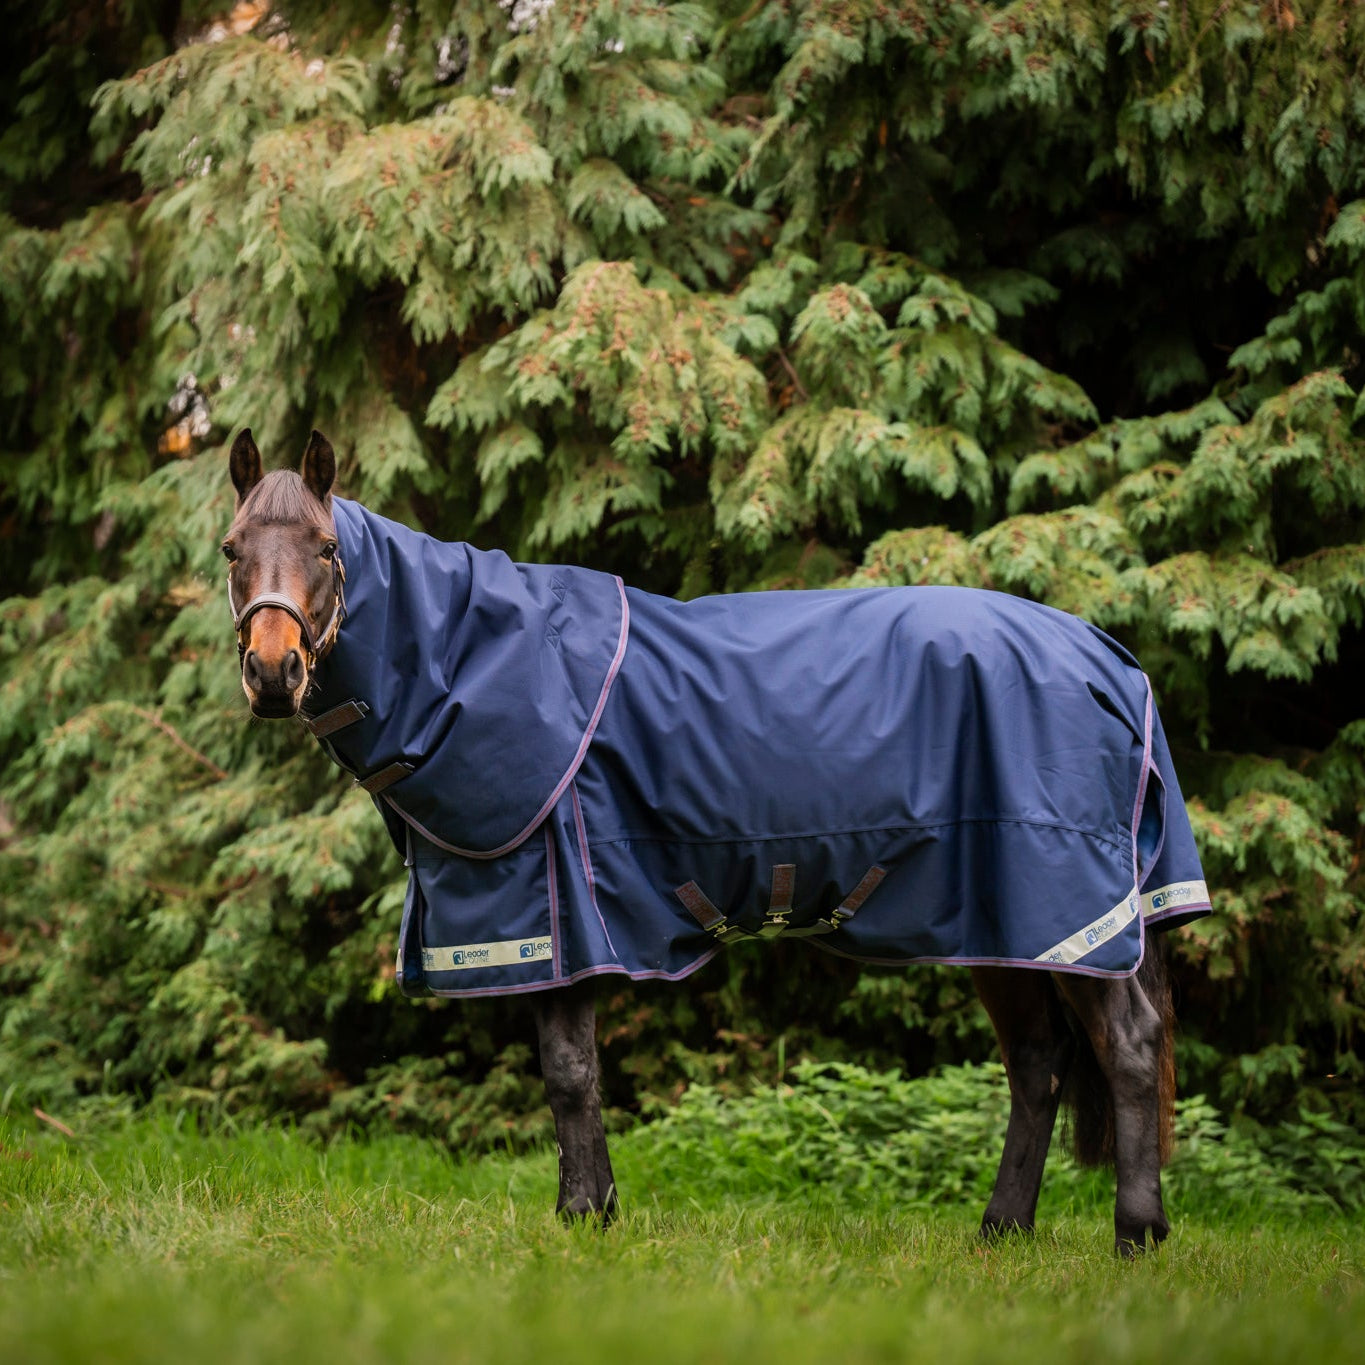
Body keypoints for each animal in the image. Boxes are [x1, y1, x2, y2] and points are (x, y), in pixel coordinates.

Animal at [221, 428, 1211, 1254]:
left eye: (326, 548)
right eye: (234, 550)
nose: (273, 672)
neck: (471, 661)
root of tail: (1108, 656)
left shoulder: (552, 914)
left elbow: (568, 1072)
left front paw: (580, 1217)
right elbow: (577, 1074)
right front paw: (596, 1209)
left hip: (1068, 907)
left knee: (1126, 1047)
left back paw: (1136, 1234)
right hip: (1002, 927)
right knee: (1036, 1065)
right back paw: (1001, 1229)